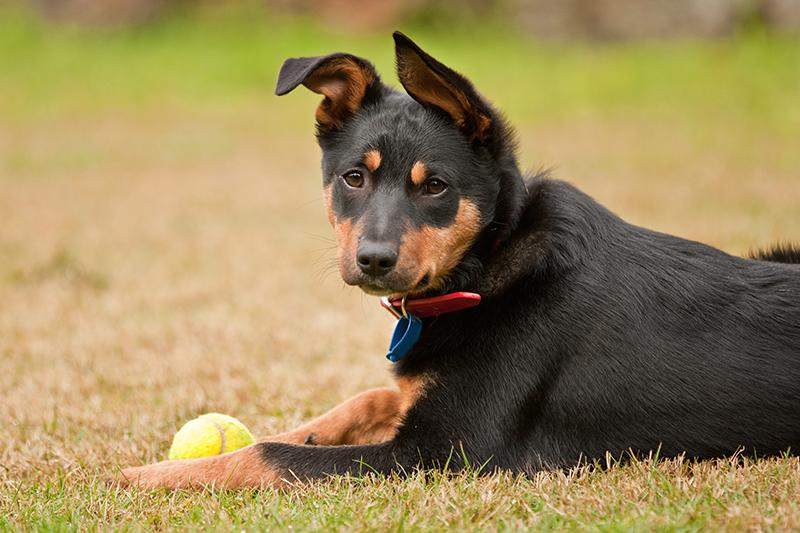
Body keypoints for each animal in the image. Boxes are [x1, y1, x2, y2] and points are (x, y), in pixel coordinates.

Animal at [119, 31, 800, 488]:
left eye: (437, 187)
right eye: (353, 178)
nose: (373, 260)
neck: (487, 264)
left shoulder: (444, 451)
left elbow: (269, 456)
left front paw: (138, 478)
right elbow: (353, 404)